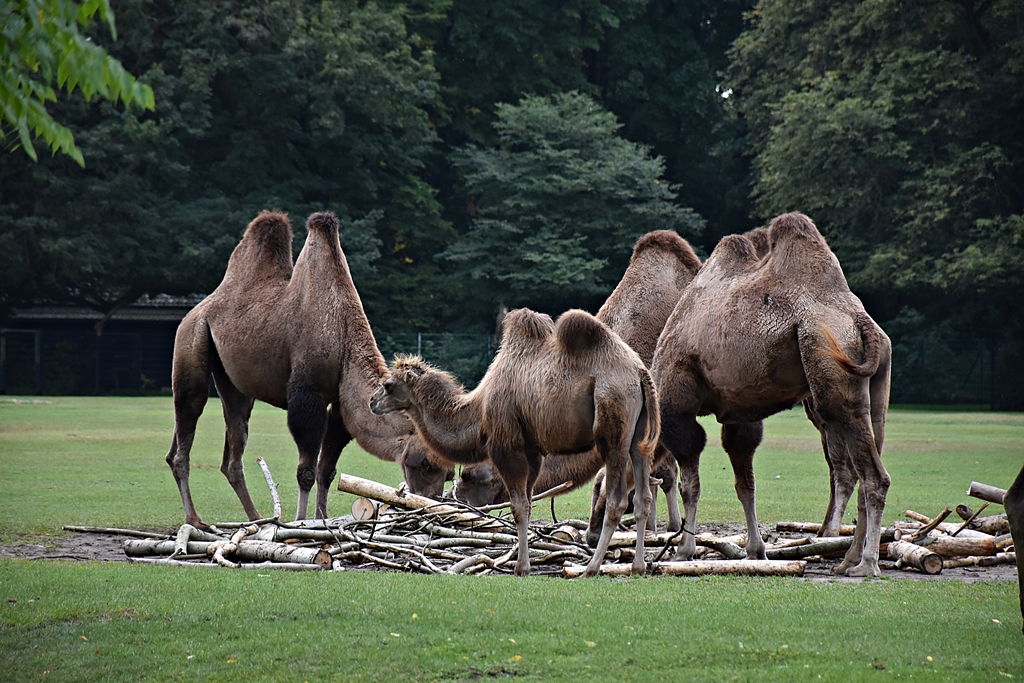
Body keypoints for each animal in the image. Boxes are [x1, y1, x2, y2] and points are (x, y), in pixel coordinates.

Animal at [165, 210, 442, 529]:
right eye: (426, 463)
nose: (433, 501)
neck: (343, 336)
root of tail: (197, 309)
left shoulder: (340, 404)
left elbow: (327, 470)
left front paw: (321, 518)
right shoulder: (308, 393)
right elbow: (306, 471)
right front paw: (300, 522)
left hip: (234, 384)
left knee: (232, 444)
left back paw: (255, 518)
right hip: (192, 339)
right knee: (188, 417)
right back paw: (194, 519)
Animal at [370, 308, 660, 576]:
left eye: (388, 385)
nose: (372, 402)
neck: (479, 411)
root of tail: (640, 372)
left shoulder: (506, 446)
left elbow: (518, 506)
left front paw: (521, 567)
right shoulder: (532, 450)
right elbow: (528, 504)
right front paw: (523, 562)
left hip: (612, 427)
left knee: (617, 500)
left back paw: (591, 568)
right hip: (639, 437)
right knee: (643, 496)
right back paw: (638, 567)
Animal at [651, 211, 892, 577]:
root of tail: (861, 321)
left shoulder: (677, 406)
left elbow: (690, 484)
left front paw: (683, 551)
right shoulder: (737, 412)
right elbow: (745, 485)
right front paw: (755, 550)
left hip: (829, 363)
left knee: (873, 475)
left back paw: (866, 565)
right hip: (877, 385)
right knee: (867, 466)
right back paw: (848, 559)